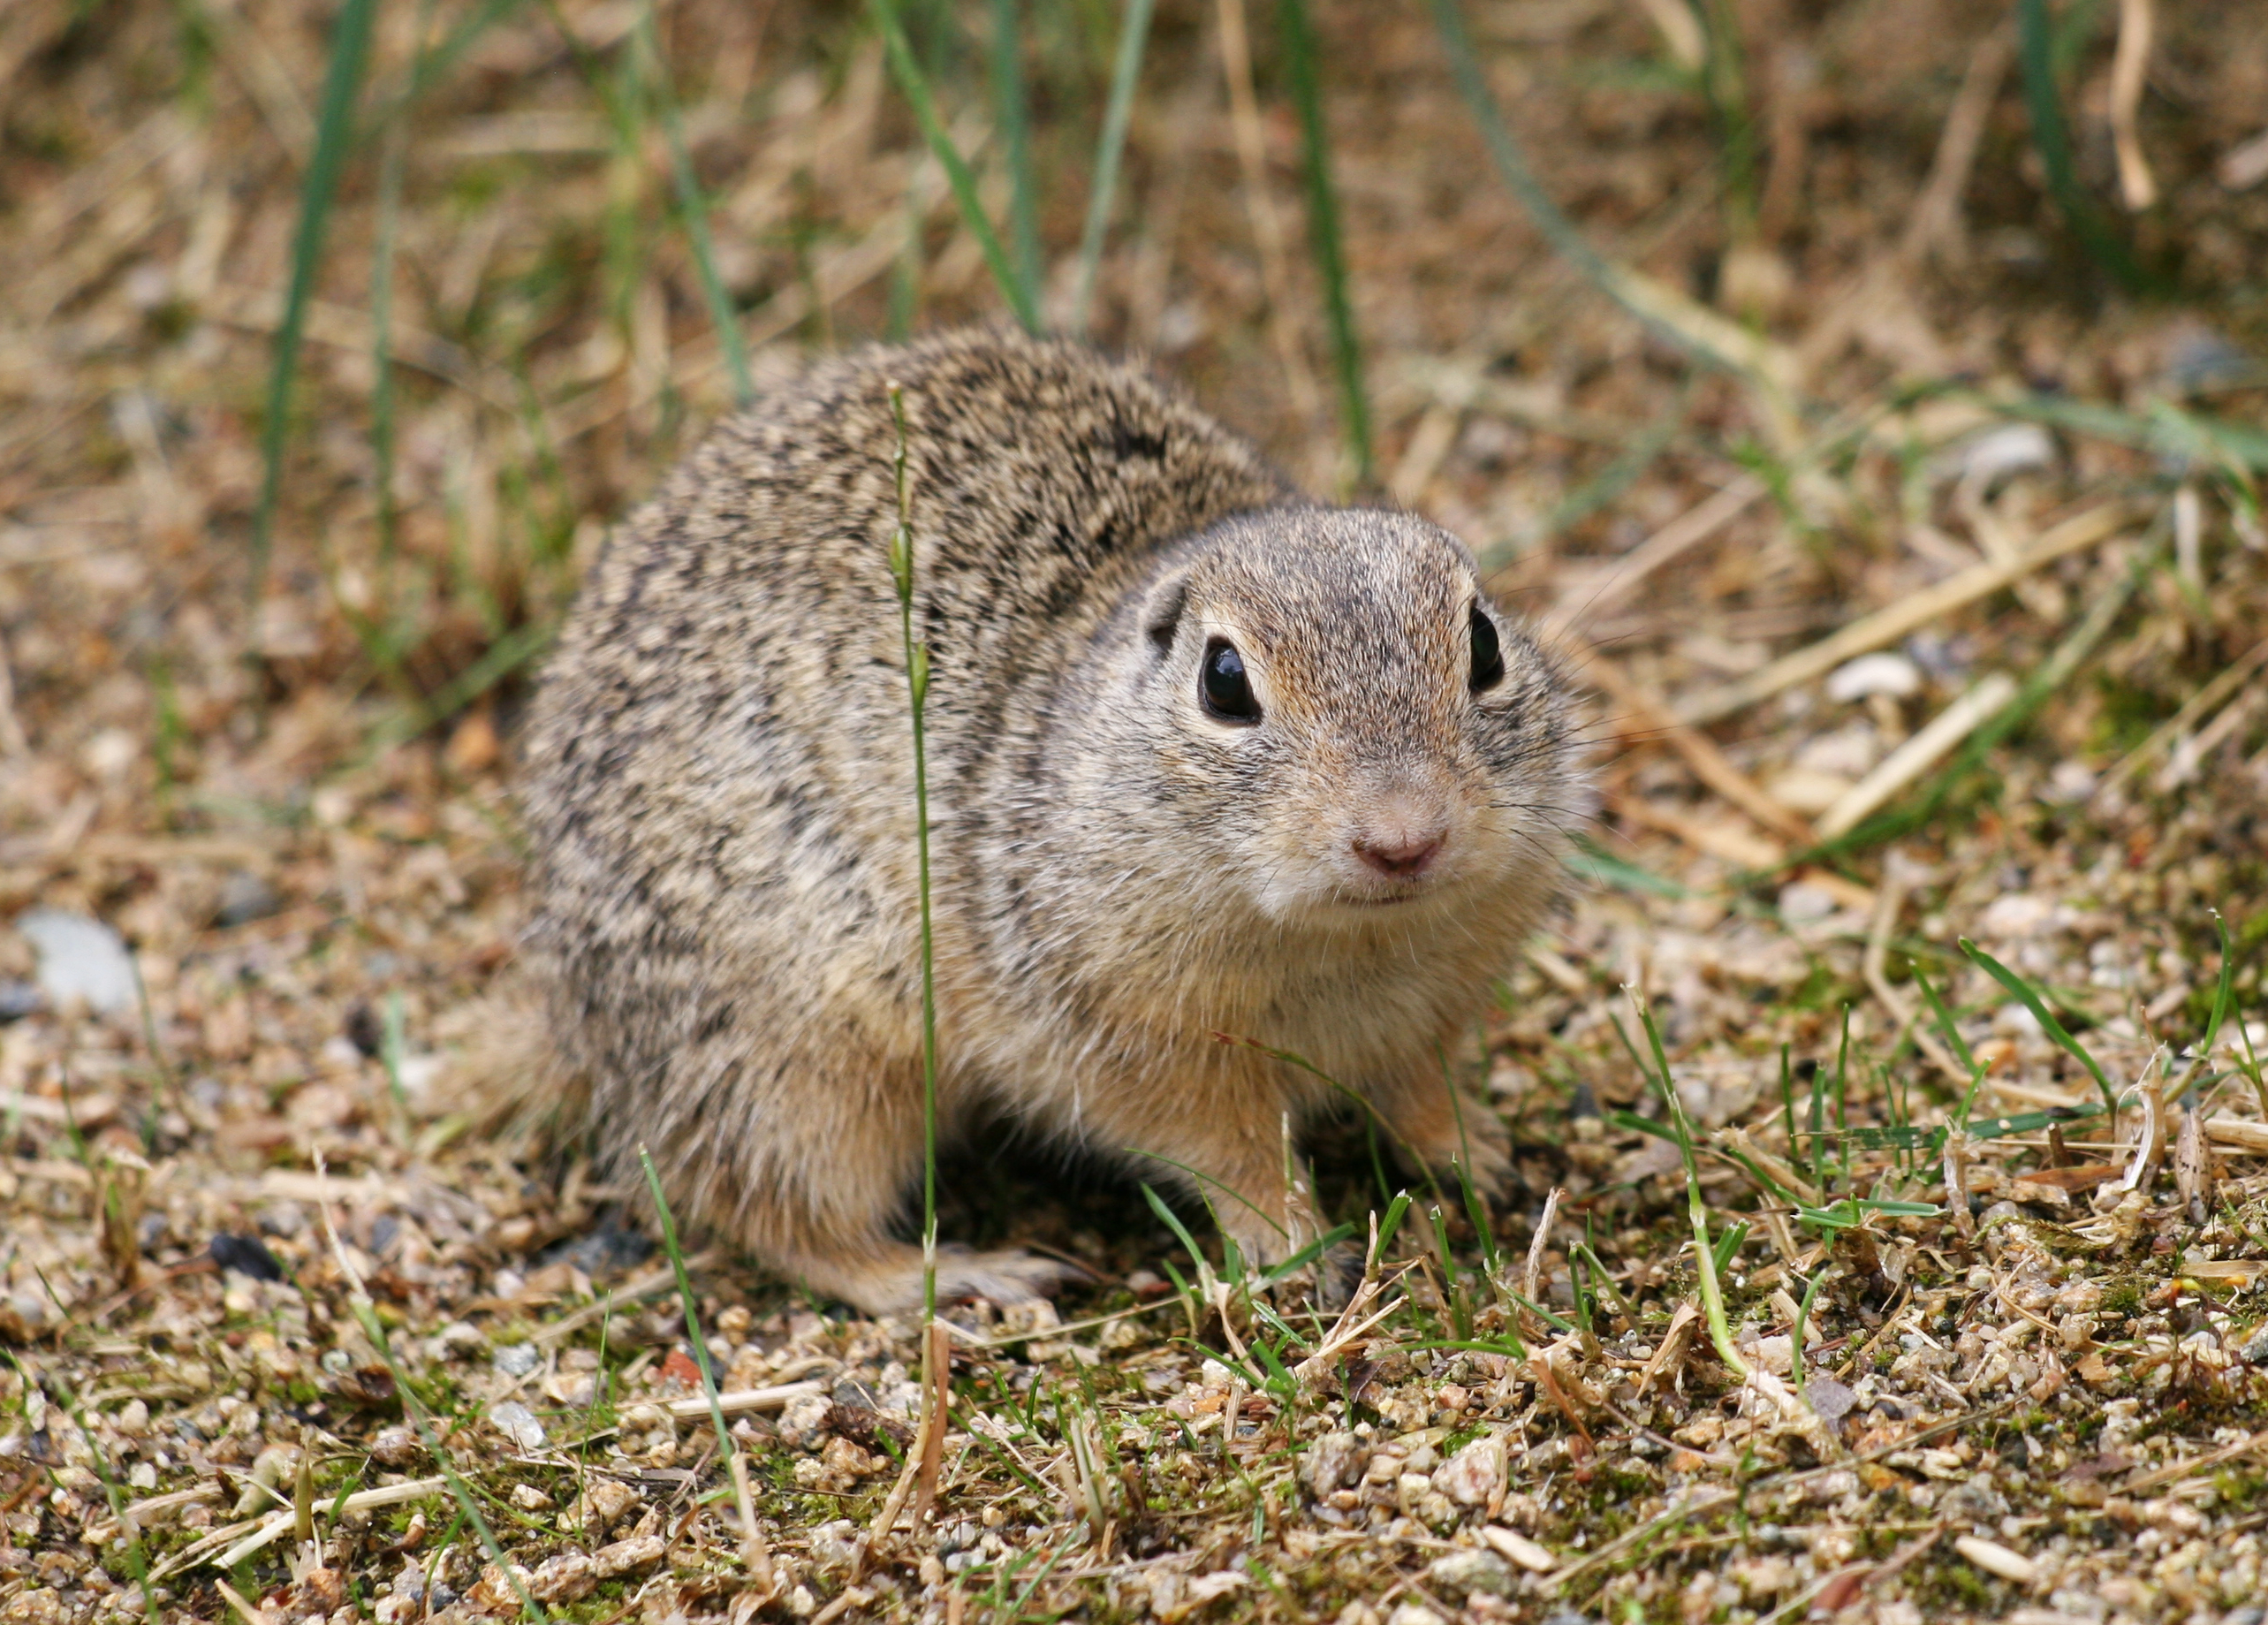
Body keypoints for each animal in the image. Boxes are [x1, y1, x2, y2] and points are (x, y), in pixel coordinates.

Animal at [496, 326, 1586, 1314]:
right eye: (1223, 682)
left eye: (1484, 645)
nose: (1403, 838)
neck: (1346, 947)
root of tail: (564, 1009)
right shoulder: (1136, 1041)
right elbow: (1230, 1152)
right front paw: (1290, 1250)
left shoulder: (1431, 1008)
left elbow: (1421, 1090)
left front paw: (1478, 1155)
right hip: (797, 1062)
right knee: (775, 1211)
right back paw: (961, 1277)